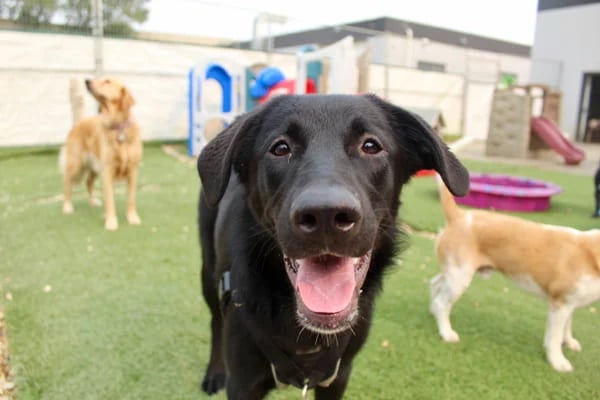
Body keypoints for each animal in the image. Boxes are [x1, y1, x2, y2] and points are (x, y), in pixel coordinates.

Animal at [197, 93, 468, 396]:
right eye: (280, 148)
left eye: (370, 146)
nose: (325, 214)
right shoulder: (243, 383)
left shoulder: (338, 376)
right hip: (209, 272)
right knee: (215, 321)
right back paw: (214, 373)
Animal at [428, 177, 600, 372]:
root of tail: (459, 216)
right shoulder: (560, 303)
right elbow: (554, 338)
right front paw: (558, 361)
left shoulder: (569, 302)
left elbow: (568, 325)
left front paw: (569, 342)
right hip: (459, 278)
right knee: (442, 303)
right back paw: (446, 332)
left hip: (454, 272)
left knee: (434, 283)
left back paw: (433, 312)